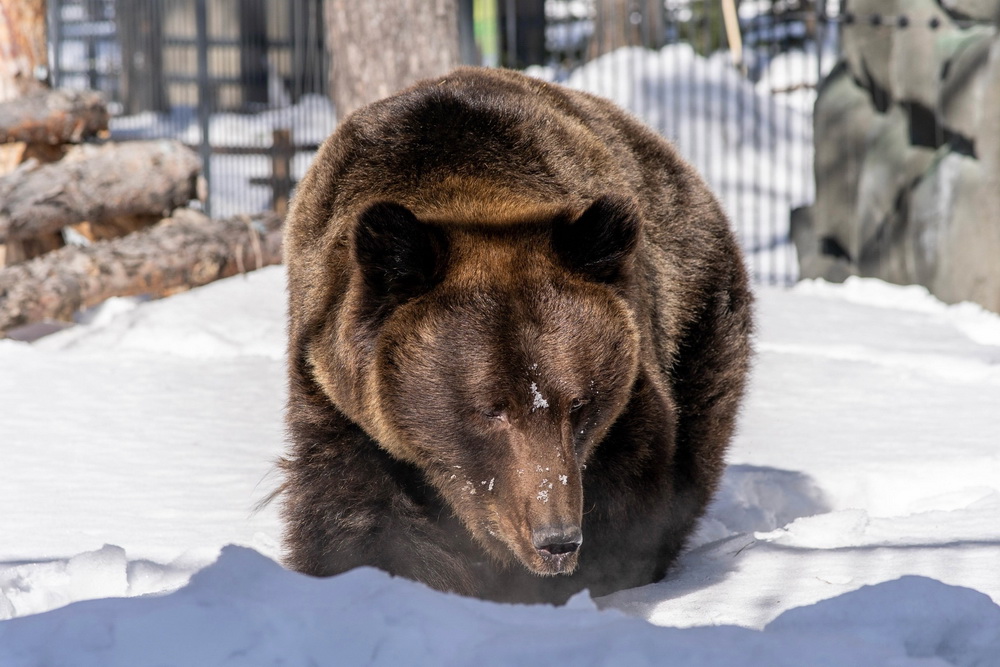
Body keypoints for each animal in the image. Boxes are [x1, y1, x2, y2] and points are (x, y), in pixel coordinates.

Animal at [276, 68, 752, 604]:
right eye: (490, 409)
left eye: (579, 404)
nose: (557, 538)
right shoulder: (342, 398)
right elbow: (356, 520)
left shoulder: (628, 402)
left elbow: (629, 502)